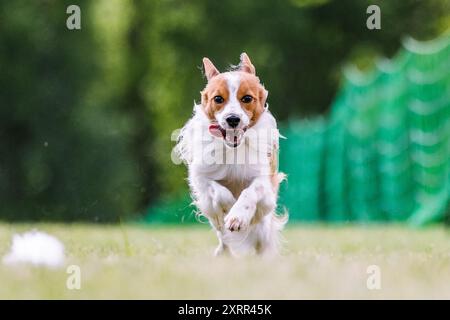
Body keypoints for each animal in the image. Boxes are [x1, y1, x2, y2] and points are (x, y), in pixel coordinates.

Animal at [176, 53, 284, 258]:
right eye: (218, 98)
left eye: (247, 98)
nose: (232, 119)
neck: (234, 149)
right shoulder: (201, 177)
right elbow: (218, 192)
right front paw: (228, 209)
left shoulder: (265, 180)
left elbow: (250, 192)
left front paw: (237, 217)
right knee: (224, 238)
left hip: (263, 231)